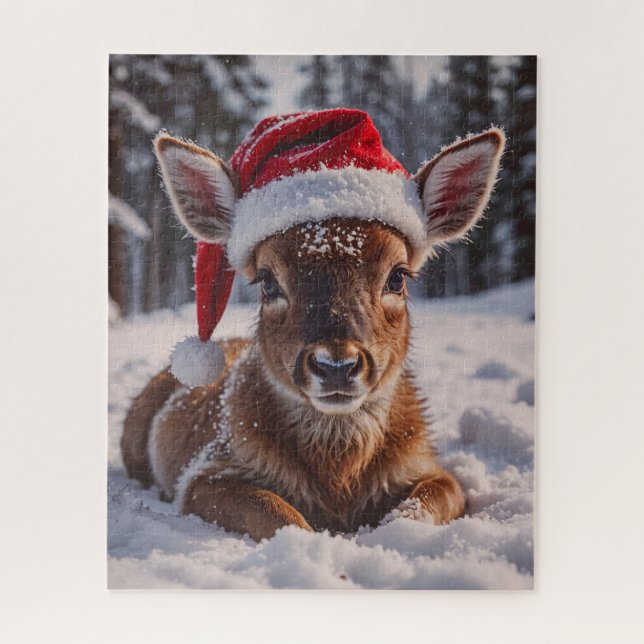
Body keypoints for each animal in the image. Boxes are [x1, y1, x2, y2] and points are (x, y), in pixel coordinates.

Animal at [121, 109, 505, 541]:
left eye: (398, 276)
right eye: (267, 280)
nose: (336, 364)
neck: (339, 478)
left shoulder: (428, 464)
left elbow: (423, 505)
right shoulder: (208, 469)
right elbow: (277, 513)